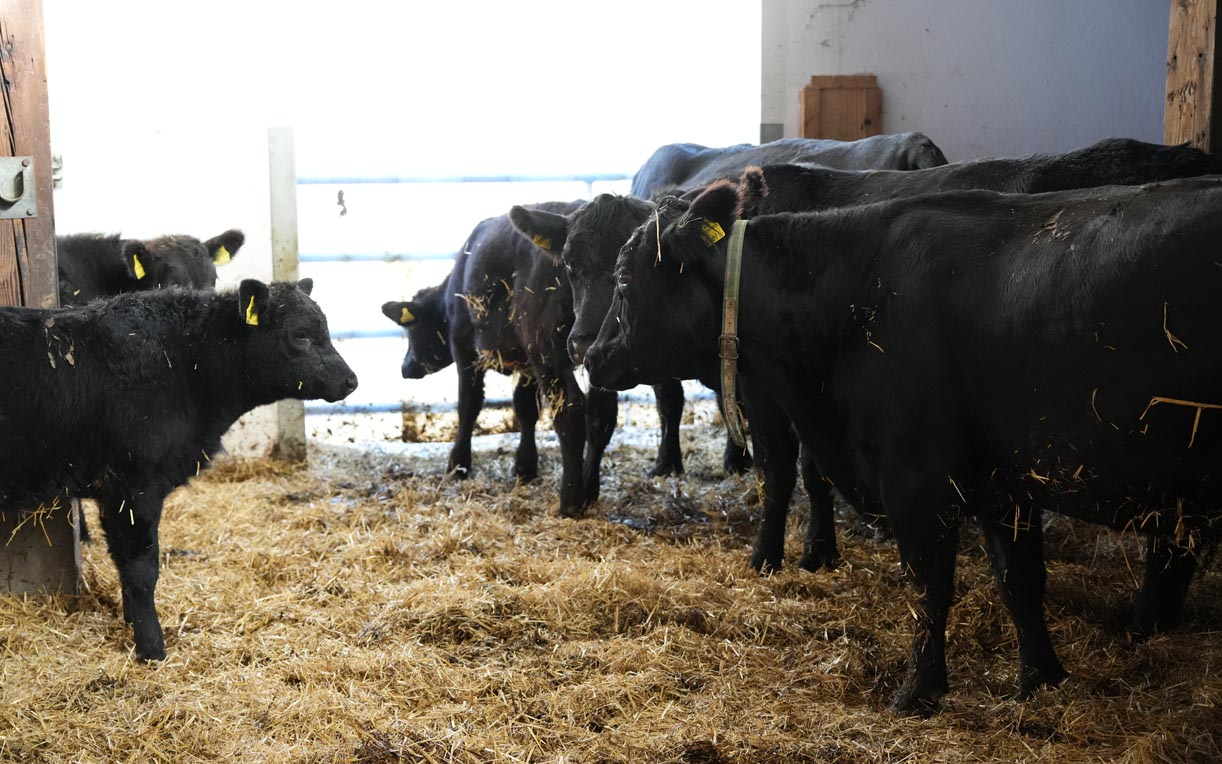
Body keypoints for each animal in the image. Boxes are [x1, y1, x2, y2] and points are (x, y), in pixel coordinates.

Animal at [0, 279, 357, 660]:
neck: (187, 364)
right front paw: (151, 648)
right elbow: (141, 570)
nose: (351, 380)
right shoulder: (134, 488)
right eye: (301, 335)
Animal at [382, 203, 617, 517]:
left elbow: (468, 404)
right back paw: (590, 490)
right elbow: (525, 408)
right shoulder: (527, 363)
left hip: (550, 352)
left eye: (411, 329)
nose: (405, 367)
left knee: (571, 409)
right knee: (602, 413)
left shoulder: (464, 348)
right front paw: (525, 466)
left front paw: (458, 463)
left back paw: (570, 499)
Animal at [584, 175, 1222, 713]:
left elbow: (928, 586)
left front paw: (920, 691)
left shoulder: (917, 481)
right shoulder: (1003, 483)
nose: (589, 353)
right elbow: (1020, 582)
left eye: (623, 280)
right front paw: (1040, 680)